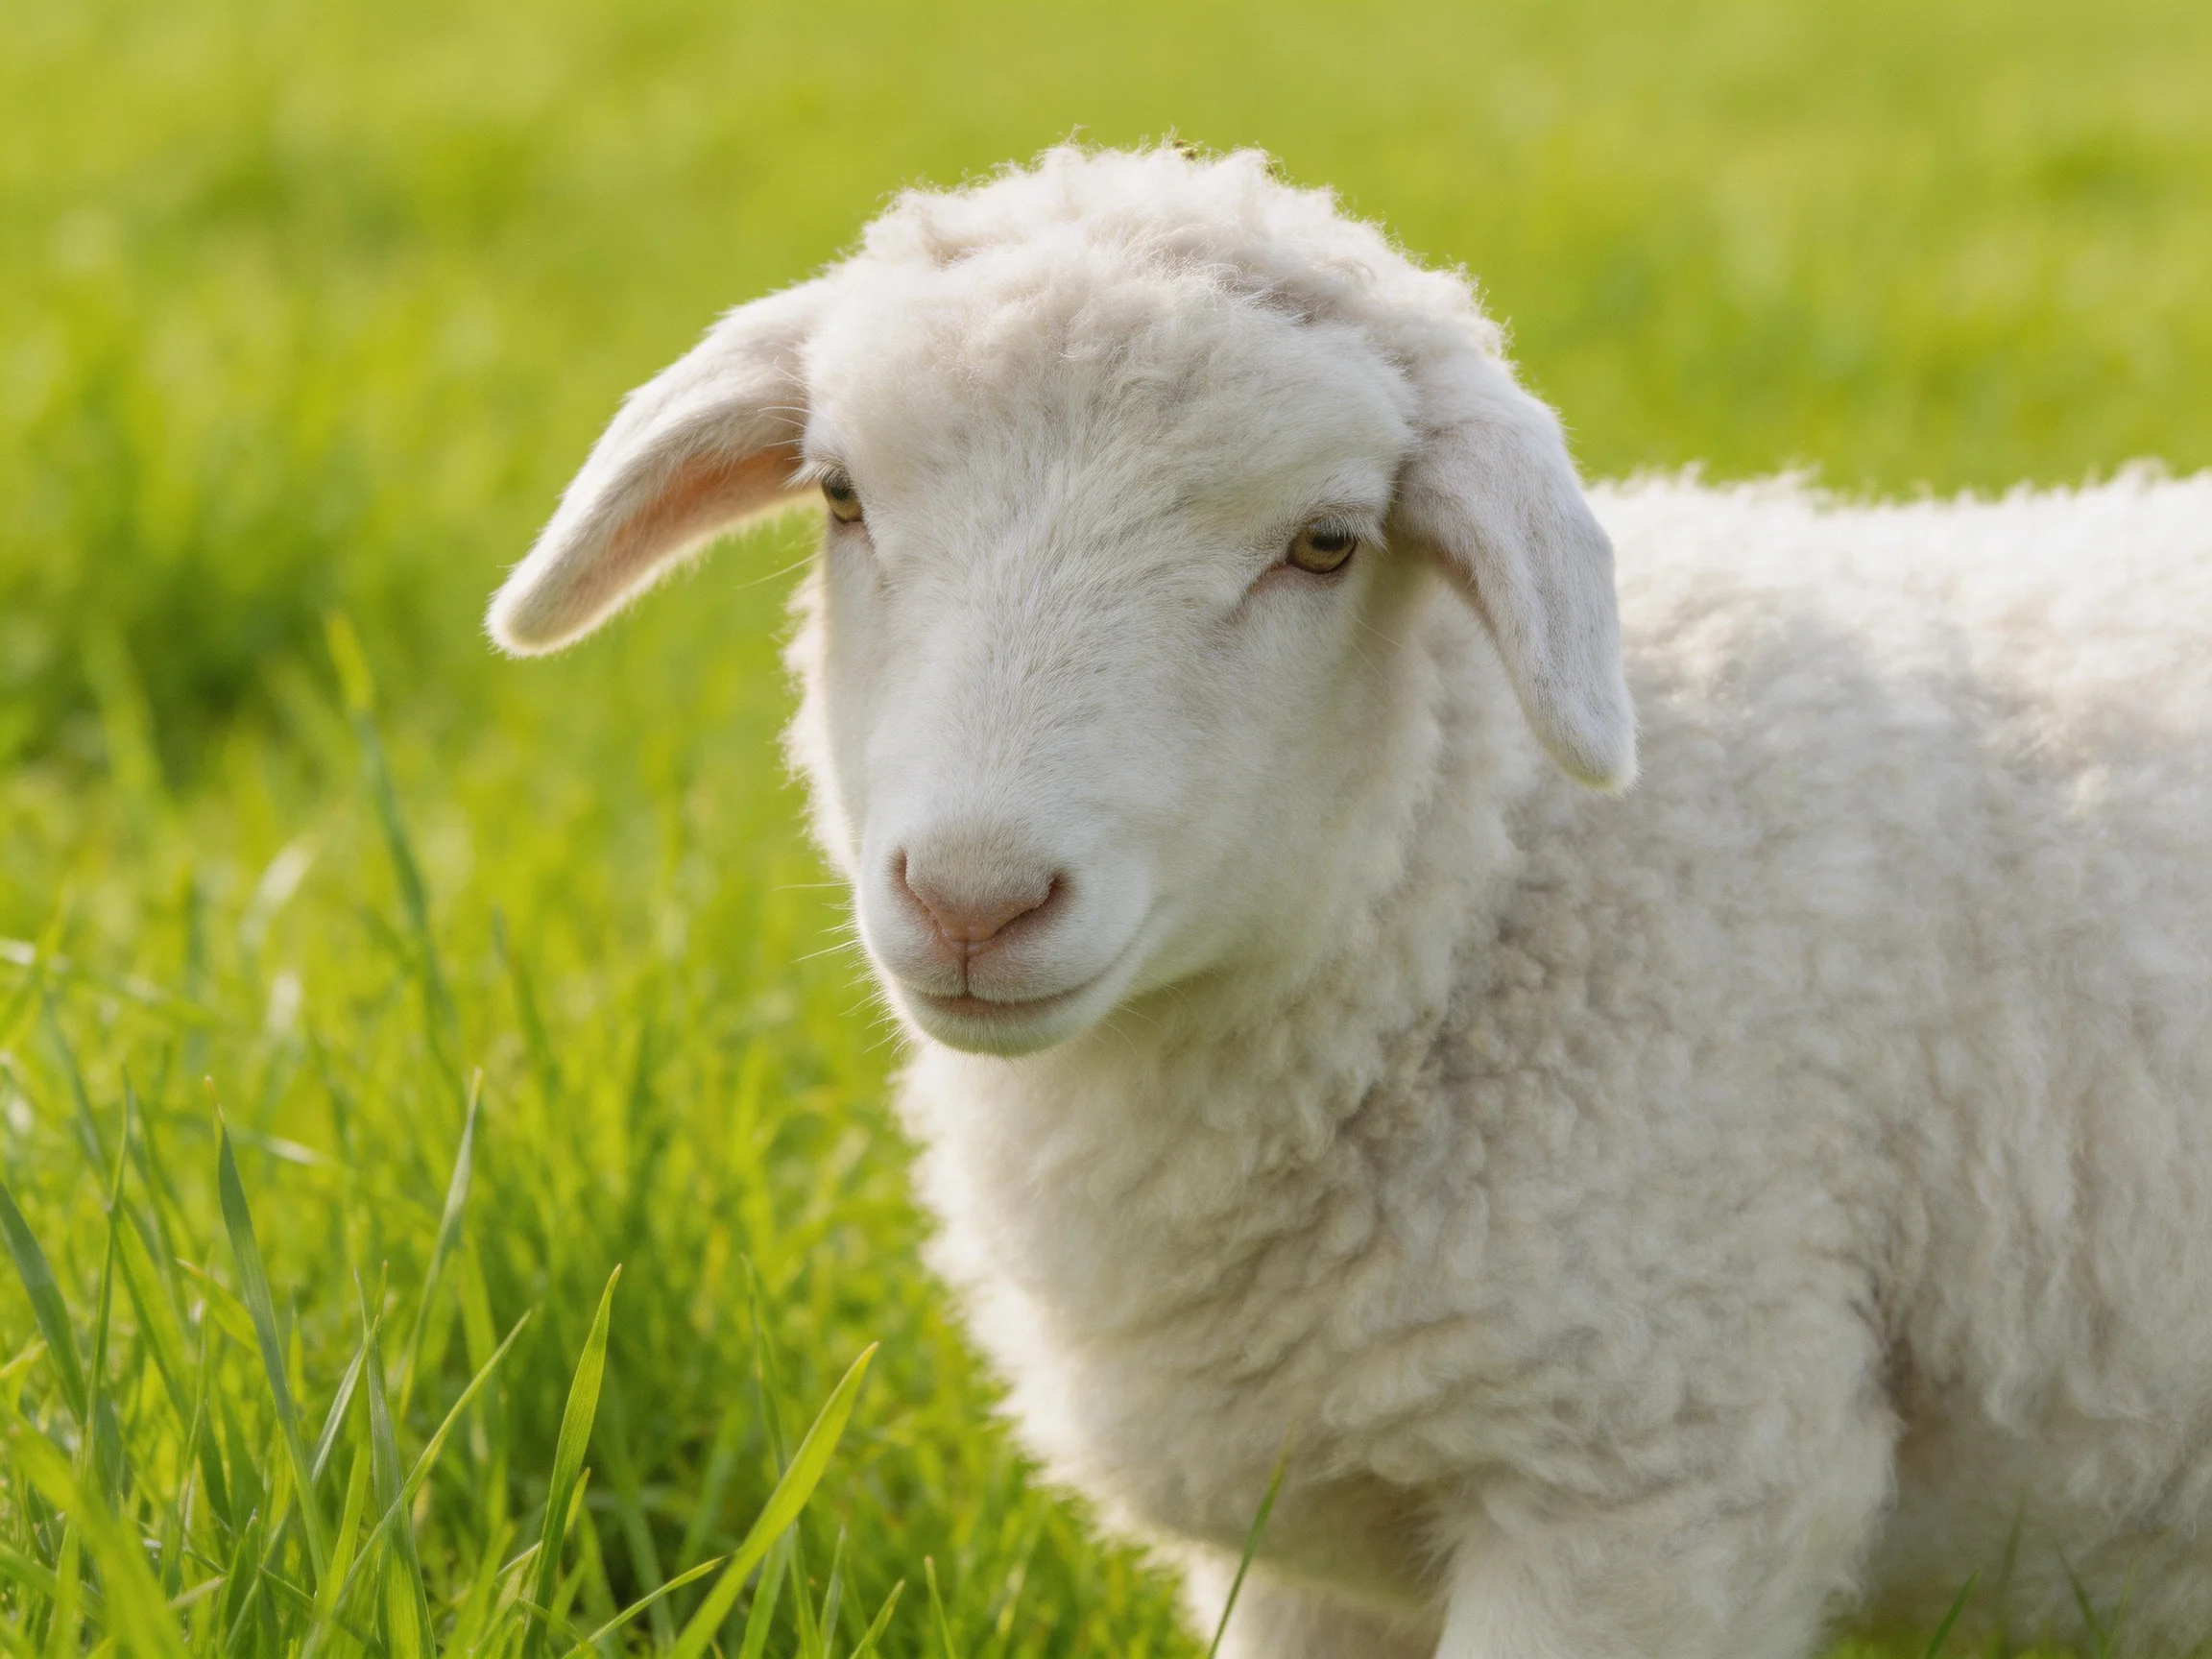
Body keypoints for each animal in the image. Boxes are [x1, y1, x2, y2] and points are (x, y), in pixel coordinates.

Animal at [486, 145, 2212, 1658]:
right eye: (840, 497)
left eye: (1323, 542)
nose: (975, 898)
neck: (1489, 888)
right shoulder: (1305, 1548)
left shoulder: (1654, 1470)